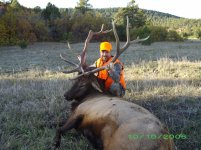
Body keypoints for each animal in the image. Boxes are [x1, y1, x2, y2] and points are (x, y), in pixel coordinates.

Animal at [53, 17, 174, 149]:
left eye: (83, 83)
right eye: (75, 79)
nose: (66, 95)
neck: (88, 97)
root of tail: (166, 143)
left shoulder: (79, 113)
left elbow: (59, 128)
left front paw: (56, 143)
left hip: (118, 142)